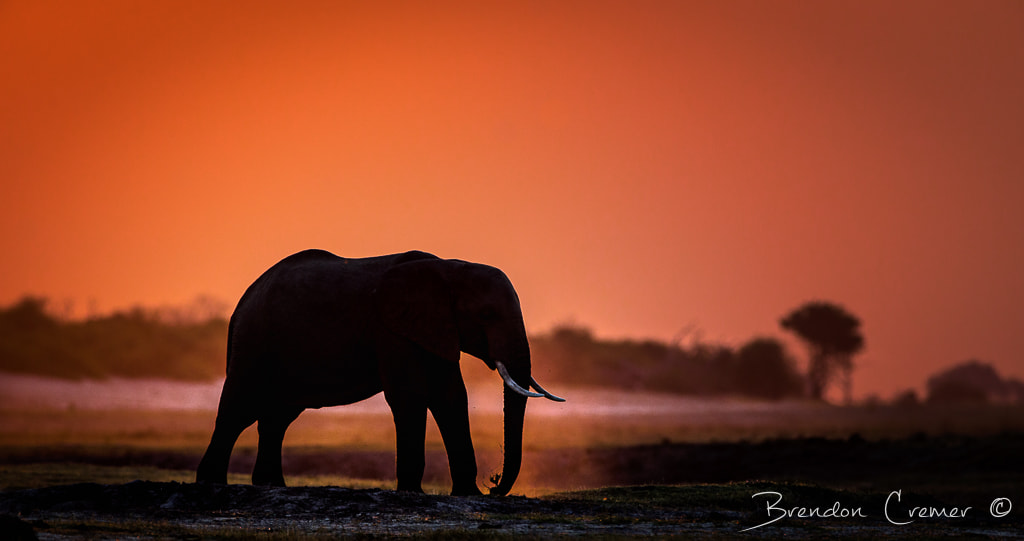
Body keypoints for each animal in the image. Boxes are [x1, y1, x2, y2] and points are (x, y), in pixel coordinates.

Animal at [195, 248, 565, 493]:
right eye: (487, 314)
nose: (493, 484)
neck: (449, 268)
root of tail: (244, 298)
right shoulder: (389, 328)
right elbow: (410, 395)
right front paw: (412, 494)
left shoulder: (434, 328)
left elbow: (450, 396)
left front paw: (467, 495)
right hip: (254, 342)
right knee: (237, 410)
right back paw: (211, 484)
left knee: (276, 418)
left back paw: (271, 486)